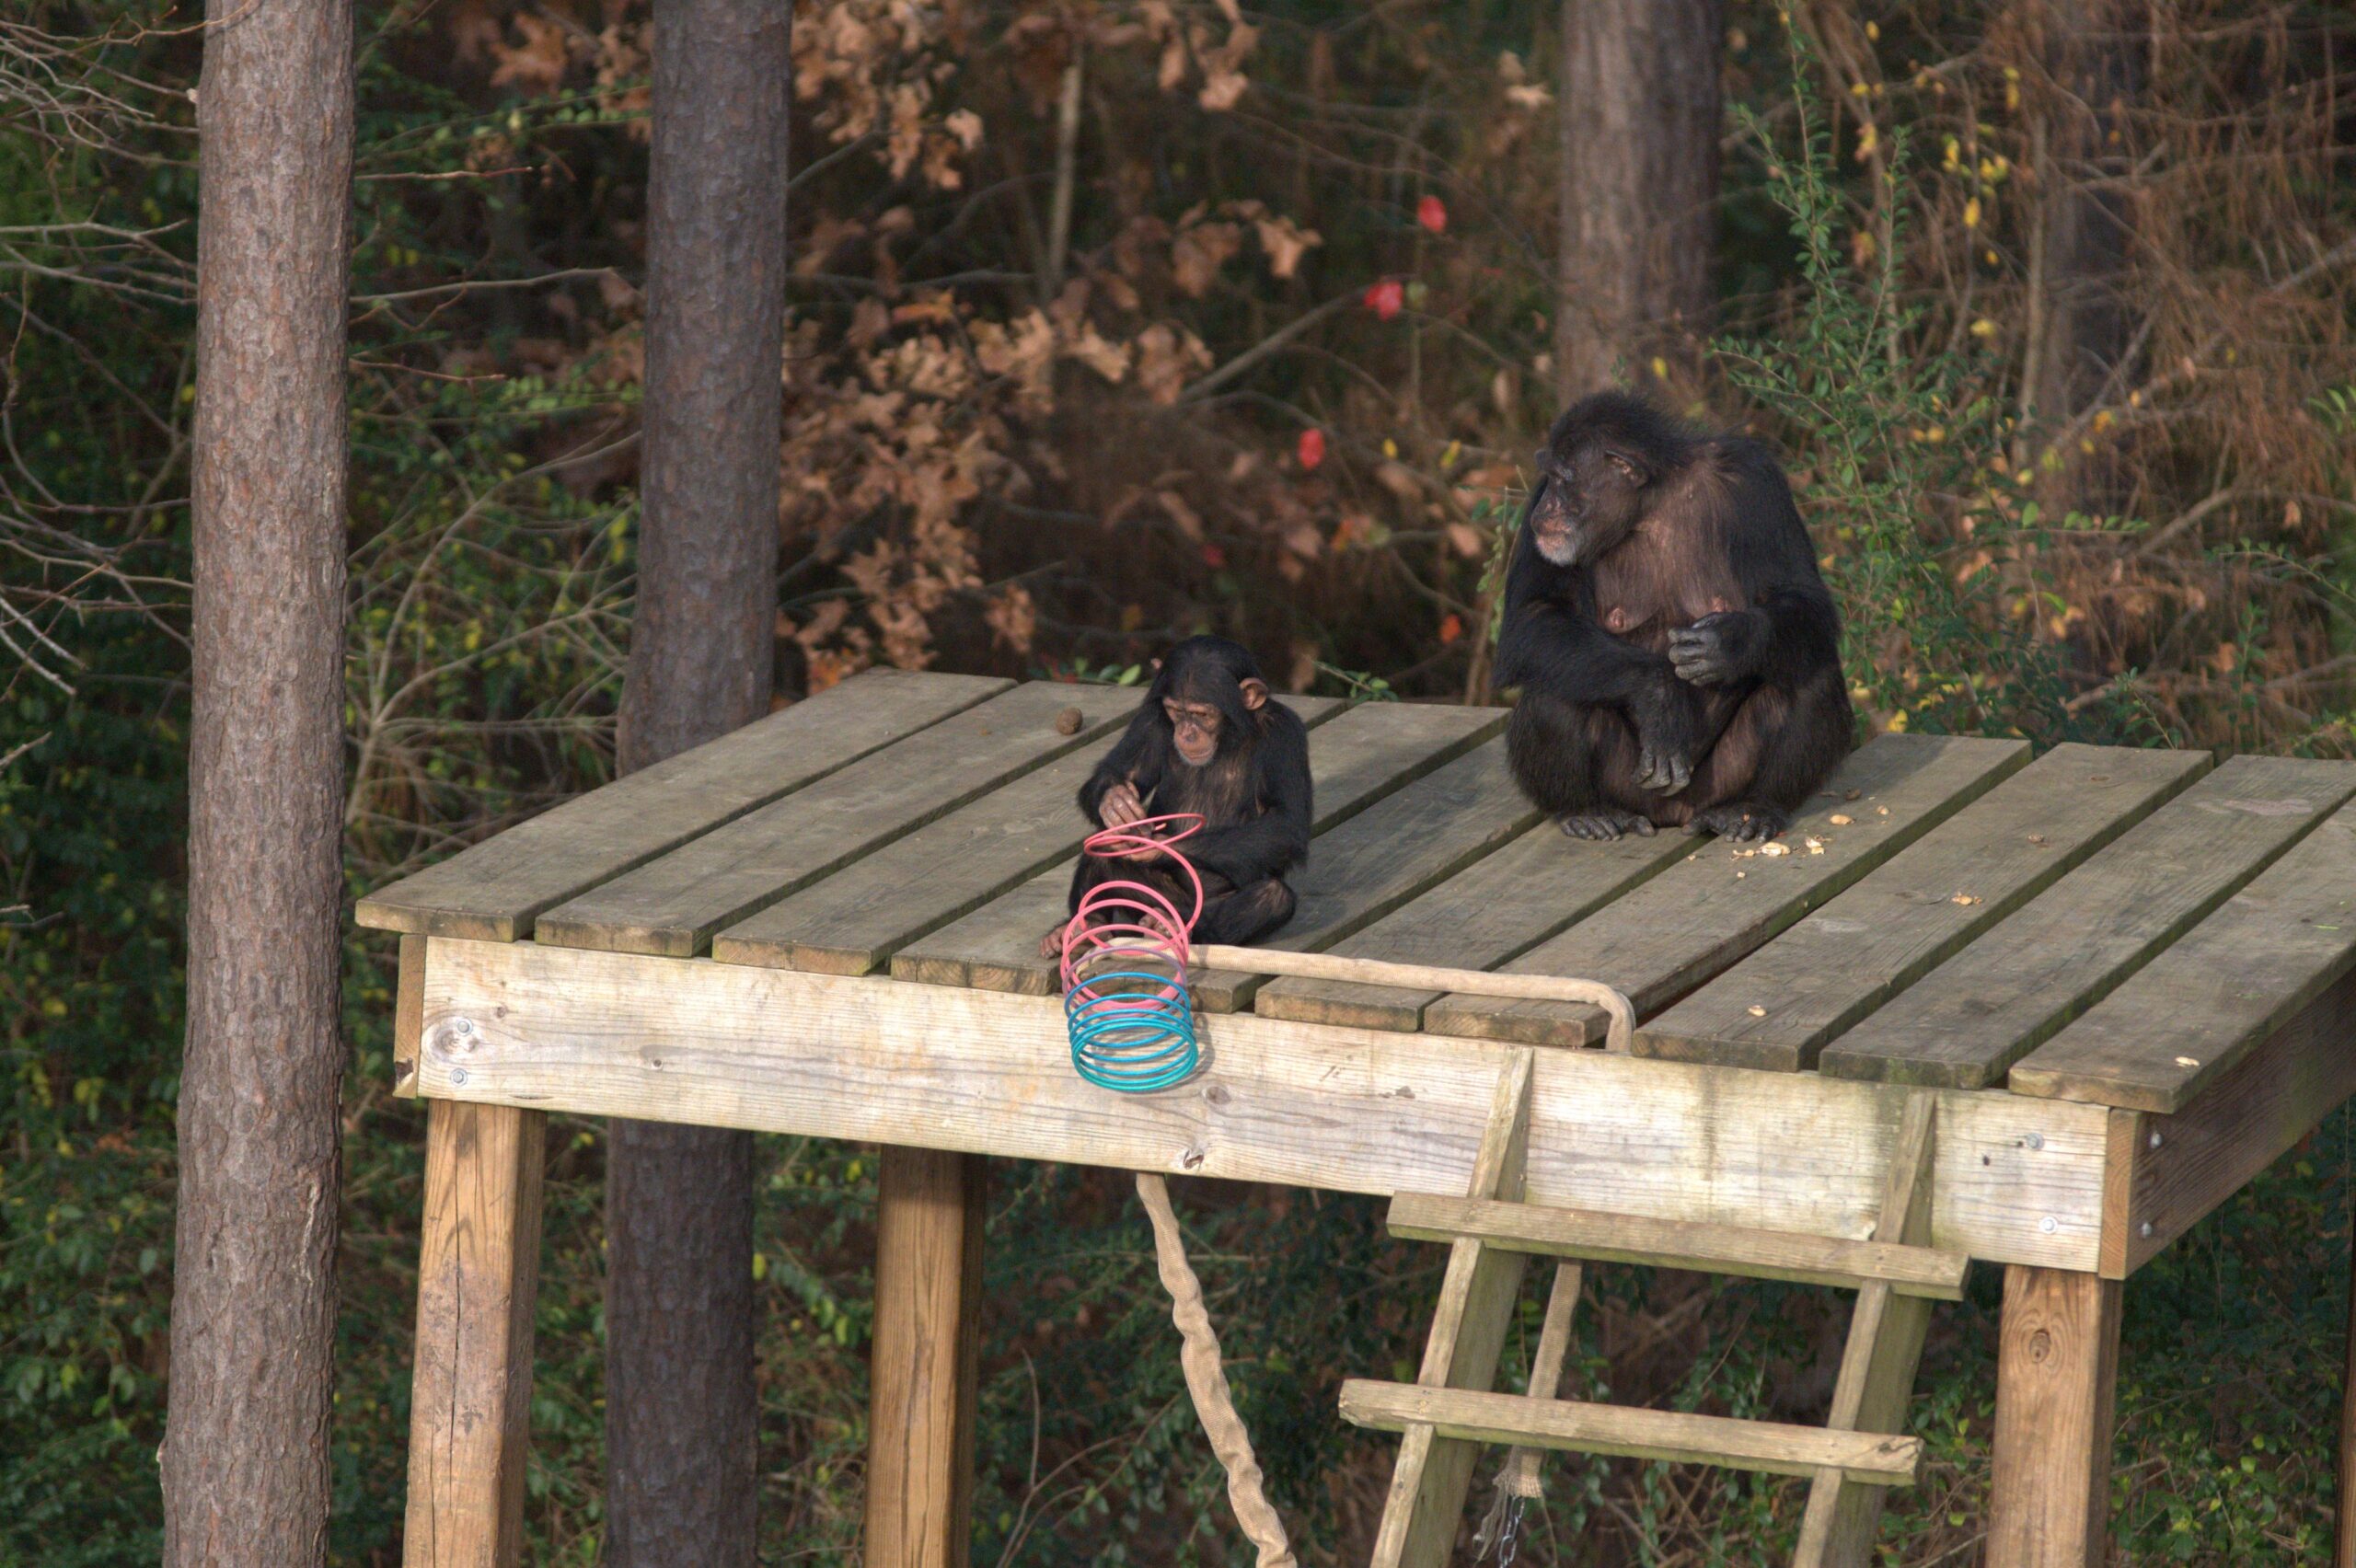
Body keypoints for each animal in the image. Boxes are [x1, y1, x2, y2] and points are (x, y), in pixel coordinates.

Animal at [1041, 630, 1319, 951]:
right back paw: (1082, 926)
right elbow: (1119, 773)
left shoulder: (1285, 733)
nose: (1187, 732)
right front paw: (1116, 803)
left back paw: (1171, 926)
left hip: (1192, 906)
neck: (1229, 736)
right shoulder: (1151, 718)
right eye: (1176, 711)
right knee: (1104, 850)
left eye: (1202, 714)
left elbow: (1286, 822)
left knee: (1272, 896)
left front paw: (1158, 846)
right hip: (1152, 900)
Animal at [1498, 386, 1847, 837]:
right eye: (1552, 478)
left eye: (1564, 478)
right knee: (1554, 688)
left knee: (1809, 673)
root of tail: (1673, 816)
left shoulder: (1753, 479)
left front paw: (1731, 643)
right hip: (1629, 785)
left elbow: (1801, 594)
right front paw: (1658, 694)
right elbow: (1534, 615)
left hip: (1720, 779)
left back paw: (1754, 807)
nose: (1546, 508)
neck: (1649, 507)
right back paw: (1587, 811)